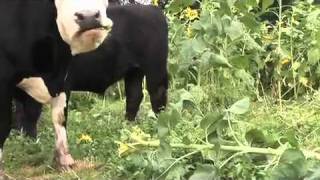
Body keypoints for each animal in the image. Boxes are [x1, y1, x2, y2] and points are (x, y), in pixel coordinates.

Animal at [14, 4, 170, 141]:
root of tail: (153, 10)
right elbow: (20, 112)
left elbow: (32, 113)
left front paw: (31, 140)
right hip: (134, 71)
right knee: (134, 95)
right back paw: (127, 126)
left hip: (155, 67)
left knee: (157, 93)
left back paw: (159, 123)